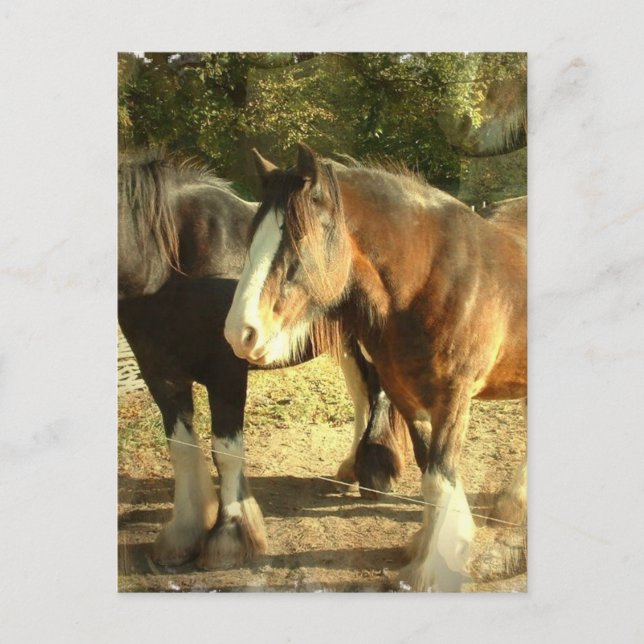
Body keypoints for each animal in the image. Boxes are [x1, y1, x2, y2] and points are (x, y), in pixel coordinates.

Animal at [118, 151, 407, 570]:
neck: (171, 260)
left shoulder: (226, 372)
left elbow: (225, 451)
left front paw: (229, 539)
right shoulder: (160, 374)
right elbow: (182, 449)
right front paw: (183, 534)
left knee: (379, 393)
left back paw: (376, 473)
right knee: (362, 395)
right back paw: (352, 466)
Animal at [224, 143, 527, 591]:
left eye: (298, 239)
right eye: (251, 238)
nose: (239, 333)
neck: (434, 282)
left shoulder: (453, 399)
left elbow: (439, 476)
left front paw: (435, 567)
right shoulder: (406, 394)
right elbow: (428, 470)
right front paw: (425, 545)